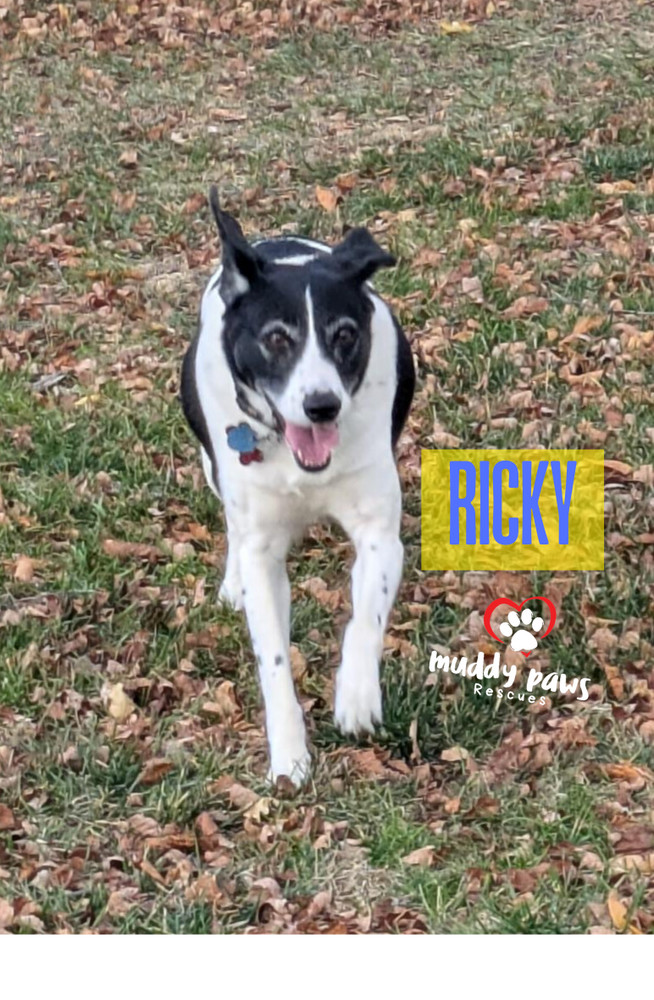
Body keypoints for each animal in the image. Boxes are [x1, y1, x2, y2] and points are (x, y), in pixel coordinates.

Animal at [181, 186, 416, 780]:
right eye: (276, 339)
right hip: (213, 466)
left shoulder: (379, 534)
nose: (322, 405)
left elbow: (366, 616)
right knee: (232, 526)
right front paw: (288, 755)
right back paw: (231, 581)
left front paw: (356, 695)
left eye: (345, 335)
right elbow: (273, 660)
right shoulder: (263, 548)